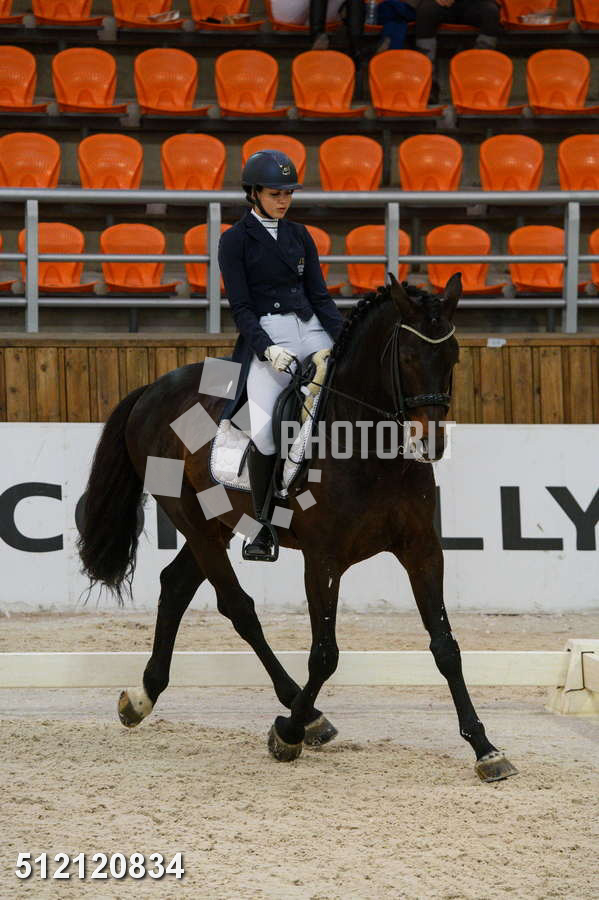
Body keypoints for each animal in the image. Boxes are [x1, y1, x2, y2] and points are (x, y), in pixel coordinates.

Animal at [77, 273, 517, 783]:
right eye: (407, 357)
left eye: (453, 357)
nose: (430, 443)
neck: (367, 446)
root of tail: (153, 388)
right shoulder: (323, 560)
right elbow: (325, 653)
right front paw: (286, 734)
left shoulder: (422, 550)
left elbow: (445, 646)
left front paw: (486, 749)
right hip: (194, 521)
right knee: (237, 607)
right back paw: (304, 717)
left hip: (217, 521)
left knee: (176, 585)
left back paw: (143, 697)